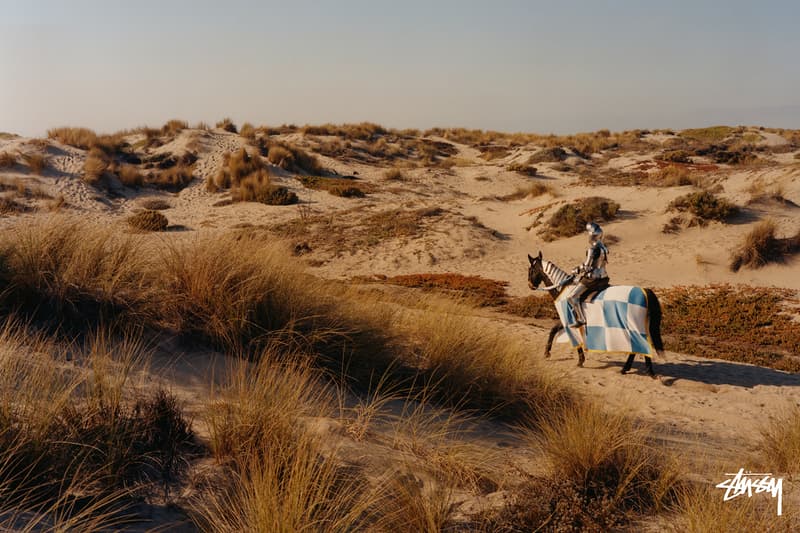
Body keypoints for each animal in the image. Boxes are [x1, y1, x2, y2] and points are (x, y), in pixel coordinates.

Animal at [528, 251, 664, 376]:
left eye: (531, 270)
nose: (530, 285)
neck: (564, 289)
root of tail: (645, 292)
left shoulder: (567, 320)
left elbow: (556, 332)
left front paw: (548, 353)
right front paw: (579, 360)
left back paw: (630, 369)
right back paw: (644, 370)